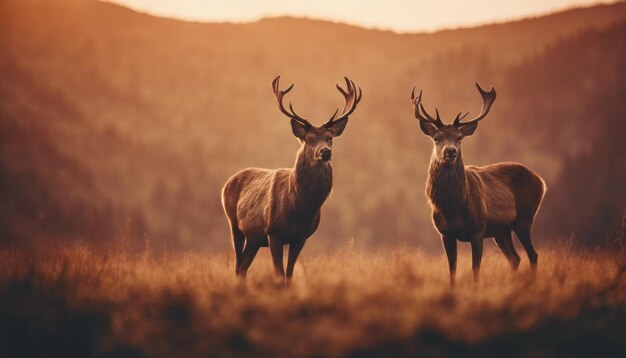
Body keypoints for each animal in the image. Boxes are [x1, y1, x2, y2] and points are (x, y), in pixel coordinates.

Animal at [221, 75, 360, 282]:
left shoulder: (300, 237)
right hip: (234, 225)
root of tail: (227, 182)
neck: (299, 207)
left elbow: (289, 275)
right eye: (309, 139)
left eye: (330, 138)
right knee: (238, 265)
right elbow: (279, 274)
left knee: (242, 268)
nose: (326, 151)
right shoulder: (273, 233)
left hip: (254, 239)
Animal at [408, 84, 544, 286]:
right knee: (515, 258)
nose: (450, 151)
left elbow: (475, 268)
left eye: (459, 137)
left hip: (525, 218)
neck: (452, 207)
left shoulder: (477, 230)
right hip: (501, 231)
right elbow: (452, 269)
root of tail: (541, 181)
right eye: (436, 138)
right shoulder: (445, 233)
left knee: (533, 255)